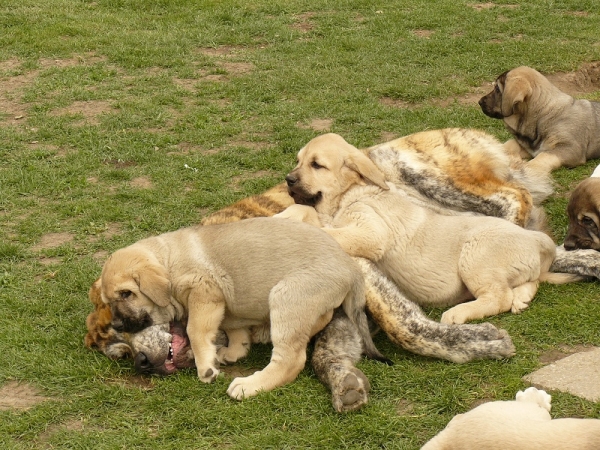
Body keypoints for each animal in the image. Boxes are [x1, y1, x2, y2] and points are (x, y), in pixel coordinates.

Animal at [278, 133, 584, 324]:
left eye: (317, 165)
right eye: (298, 161)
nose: (289, 180)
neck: (350, 192)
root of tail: (537, 240)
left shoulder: (371, 232)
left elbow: (330, 232)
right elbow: (308, 213)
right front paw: (287, 215)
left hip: (475, 256)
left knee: (498, 297)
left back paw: (459, 313)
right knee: (526, 283)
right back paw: (521, 299)